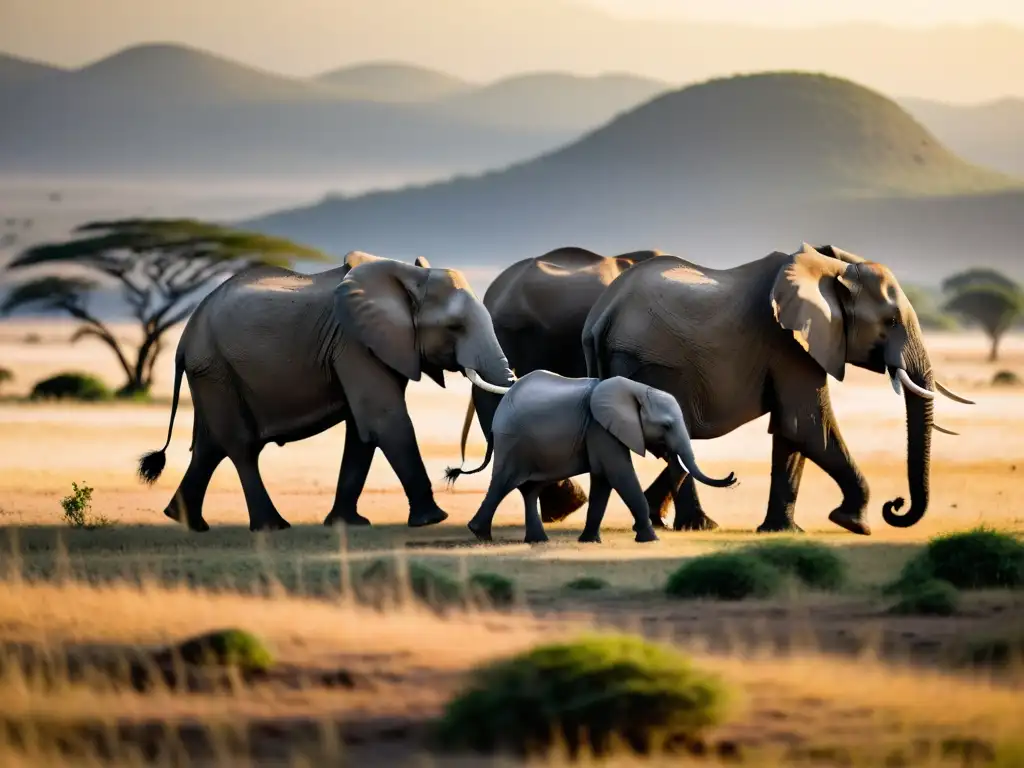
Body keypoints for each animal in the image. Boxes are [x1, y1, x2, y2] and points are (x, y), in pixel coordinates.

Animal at [139, 252, 516, 536]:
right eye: (454, 327)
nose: (454, 471)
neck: (406, 276)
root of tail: (185, 337)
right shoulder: (354, 344)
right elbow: (384, 420)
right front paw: (433, 519)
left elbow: (362, 432)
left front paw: (349, 524)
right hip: (214, 367)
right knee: (240, 446)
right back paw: (271, 526)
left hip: (211, 371)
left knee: (209, 445)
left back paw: (186, 521)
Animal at [448, 370, 737, 540]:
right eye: (666, 426)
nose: (733, 477)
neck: (635, 389)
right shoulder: (601, 429)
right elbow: (619, 475)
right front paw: (650, 538)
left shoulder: (599, 433)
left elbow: (602, 481)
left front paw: (589, 540)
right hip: (513, 443)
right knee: (503, 483)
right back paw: (480, 534)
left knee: (530, 489)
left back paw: (536, 540)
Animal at [581, 244, 970, 536]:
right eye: (890, 322)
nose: (896, 506)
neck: (831, 269)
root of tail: (602, 315)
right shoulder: (788, 343)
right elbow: (808, 426)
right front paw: (855, 524)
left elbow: (791, 431)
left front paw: (782, 531)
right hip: (649, 364)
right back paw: (688, 523)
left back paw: (665, 518)